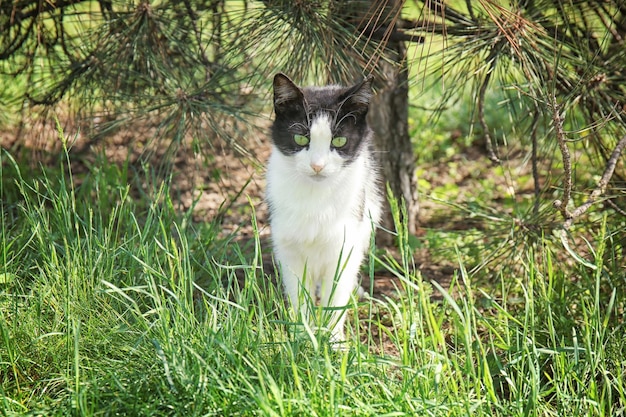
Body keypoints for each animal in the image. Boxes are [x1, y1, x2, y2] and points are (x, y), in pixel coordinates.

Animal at [264, 72, 380, 344]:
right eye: (300, 138)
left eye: (339, 140)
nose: (317, 166)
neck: (315, 197)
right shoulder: (288, 248)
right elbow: (298, 294)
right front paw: (300, 334)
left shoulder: (345, 243)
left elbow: (336, 295)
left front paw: (334, 340)